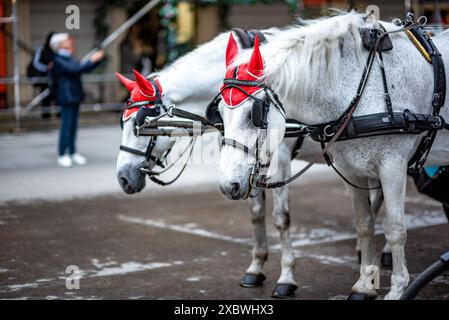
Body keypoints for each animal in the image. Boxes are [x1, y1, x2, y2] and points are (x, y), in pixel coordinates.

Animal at [215, 11, 446, 298]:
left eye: (252, 114)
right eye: (219, 112)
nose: (228, 185)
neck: (361, 87)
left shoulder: (393, 166)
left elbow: (395, 228)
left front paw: (398, 289)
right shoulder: (351, 170)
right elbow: (364, 224)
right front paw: (364, 285)